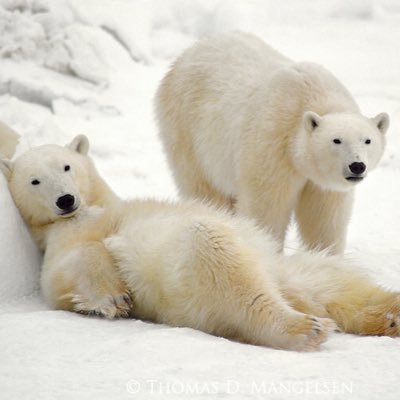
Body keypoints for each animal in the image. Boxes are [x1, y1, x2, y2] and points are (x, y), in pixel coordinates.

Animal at [1, 136, 398, 352]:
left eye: (66, 166)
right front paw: (113, 298)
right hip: (181, 282)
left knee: (337, 282)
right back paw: (305, 327)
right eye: (35, 180)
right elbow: (66, 269)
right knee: (219, 259)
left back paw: (391, 314)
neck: (94, 205)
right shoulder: (67, 236)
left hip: (287, 268)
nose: (65, 199)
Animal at [155, 32, 390, 255]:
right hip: (187, 130)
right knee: (204, 188)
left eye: (367, 140)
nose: (357, 166)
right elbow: (266, 206)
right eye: (337, 140)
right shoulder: (273, 144)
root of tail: (188, 52)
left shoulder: (322, 183)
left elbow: (324, 217)